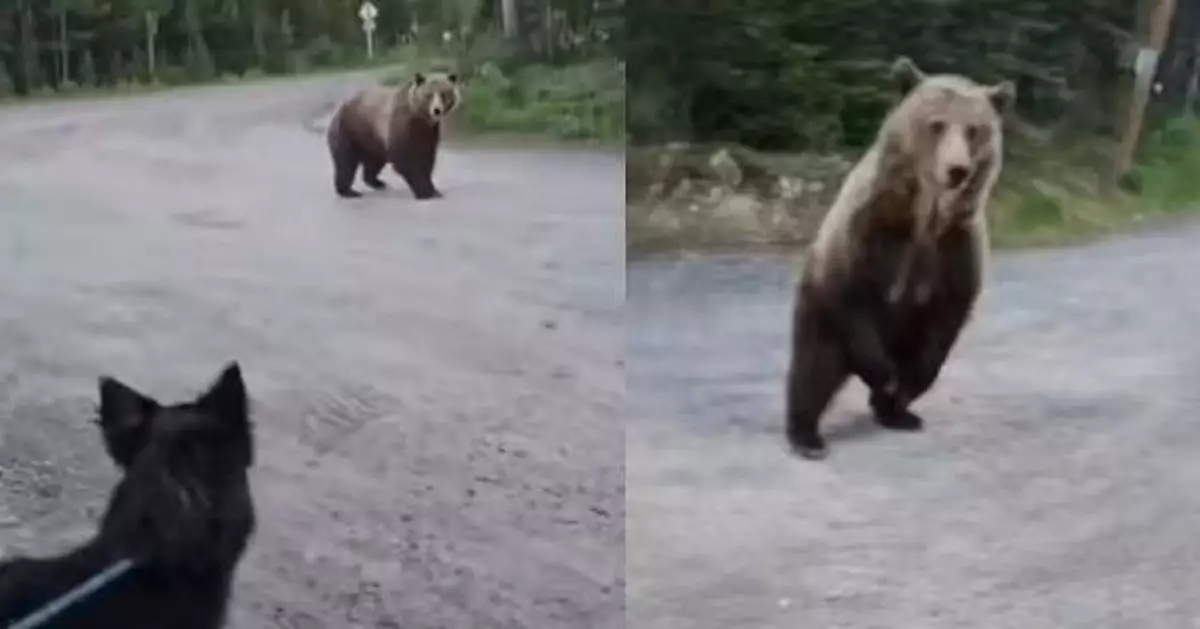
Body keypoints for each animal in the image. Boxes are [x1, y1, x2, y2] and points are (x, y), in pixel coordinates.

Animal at [326, 71, 462, 200]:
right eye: (428, 95)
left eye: (444, 94)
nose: (436, 110)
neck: (420, 118)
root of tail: (338, 110)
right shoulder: (402, 125)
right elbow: (405, 160)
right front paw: (426, 192)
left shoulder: (429, 132)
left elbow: (427, 158)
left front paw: (434, 190)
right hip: (350, 131)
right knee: (345, 164)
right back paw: (348, 191)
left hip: (373, 141)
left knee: (374, 162)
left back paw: (377, 183)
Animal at [784, 56, 1015, 460]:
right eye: (937, 124)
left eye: (974, 130)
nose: (957, 170)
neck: (926, 213)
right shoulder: (872, 226)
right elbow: (854, 292)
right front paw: (884, 375)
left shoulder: (954, 245)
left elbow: (945, 320)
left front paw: (897, 390)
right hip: (821, 316)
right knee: (812, 369)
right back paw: (807, 435)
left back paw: (897, 412)